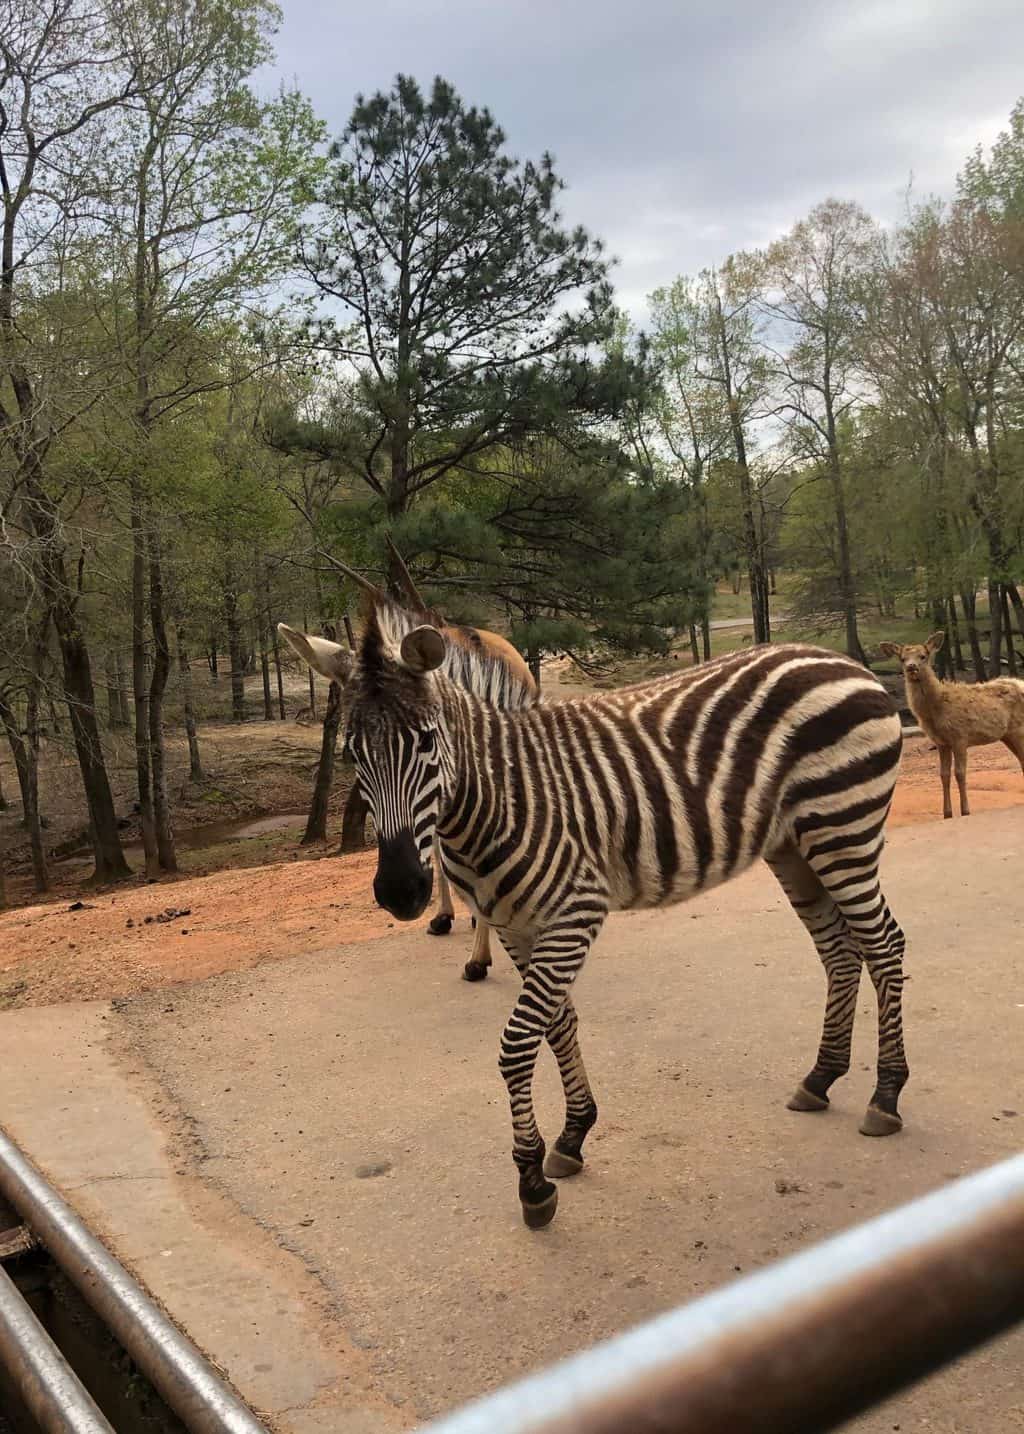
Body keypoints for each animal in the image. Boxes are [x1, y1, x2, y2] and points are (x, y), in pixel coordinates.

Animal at [325, 599, 900, 1227]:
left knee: (885, 945)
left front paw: (531, 1182)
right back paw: (821, 1078)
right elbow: (557, 1024)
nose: (401, 891)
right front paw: (573, 1135)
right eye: (352, 754)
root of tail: (840, 660)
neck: (504, 795)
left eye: (428, 742)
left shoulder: (575, 914)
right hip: (794, 847)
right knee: (839, 952)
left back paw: (886, 1096)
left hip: (843, 828)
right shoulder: (516, 926)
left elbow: (517, 1043)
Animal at [877, 636, 1021, 825]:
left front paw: (965, 810)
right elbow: (943, 775)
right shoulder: (941, 743)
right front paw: (947, 813)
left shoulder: (960, 736)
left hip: (1018, 729)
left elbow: (960, 773)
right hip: (1008, 735)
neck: (935, 712)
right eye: (902, 658)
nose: (911, 667)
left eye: (923, 656)